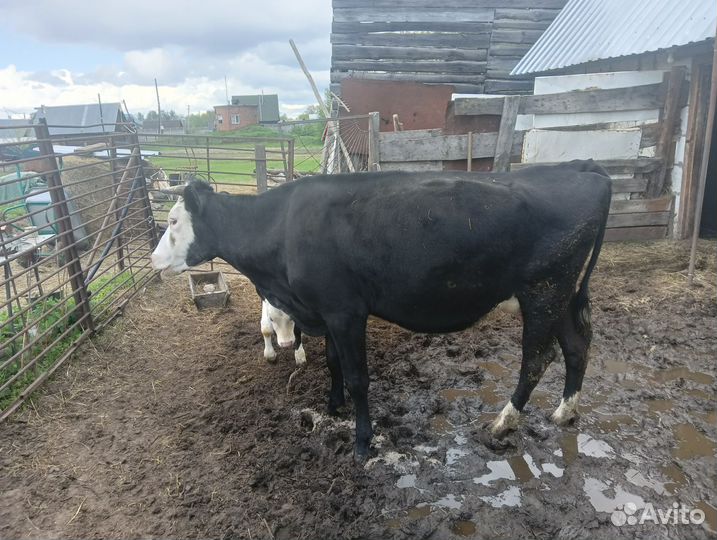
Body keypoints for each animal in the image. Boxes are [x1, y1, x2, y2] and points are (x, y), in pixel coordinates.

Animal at [151, 160, 612, 461]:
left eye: (172, 221)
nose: (153, 260)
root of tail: (582, 169)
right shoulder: (329, 312)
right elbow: (333, 363)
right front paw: (332, 405)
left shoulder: (345, 311)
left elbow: (358, 378)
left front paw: (361, 441)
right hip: (565, 295)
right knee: (577, 347)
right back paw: (564, 412)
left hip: (544, 292)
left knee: (536, 358)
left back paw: (504, 422)